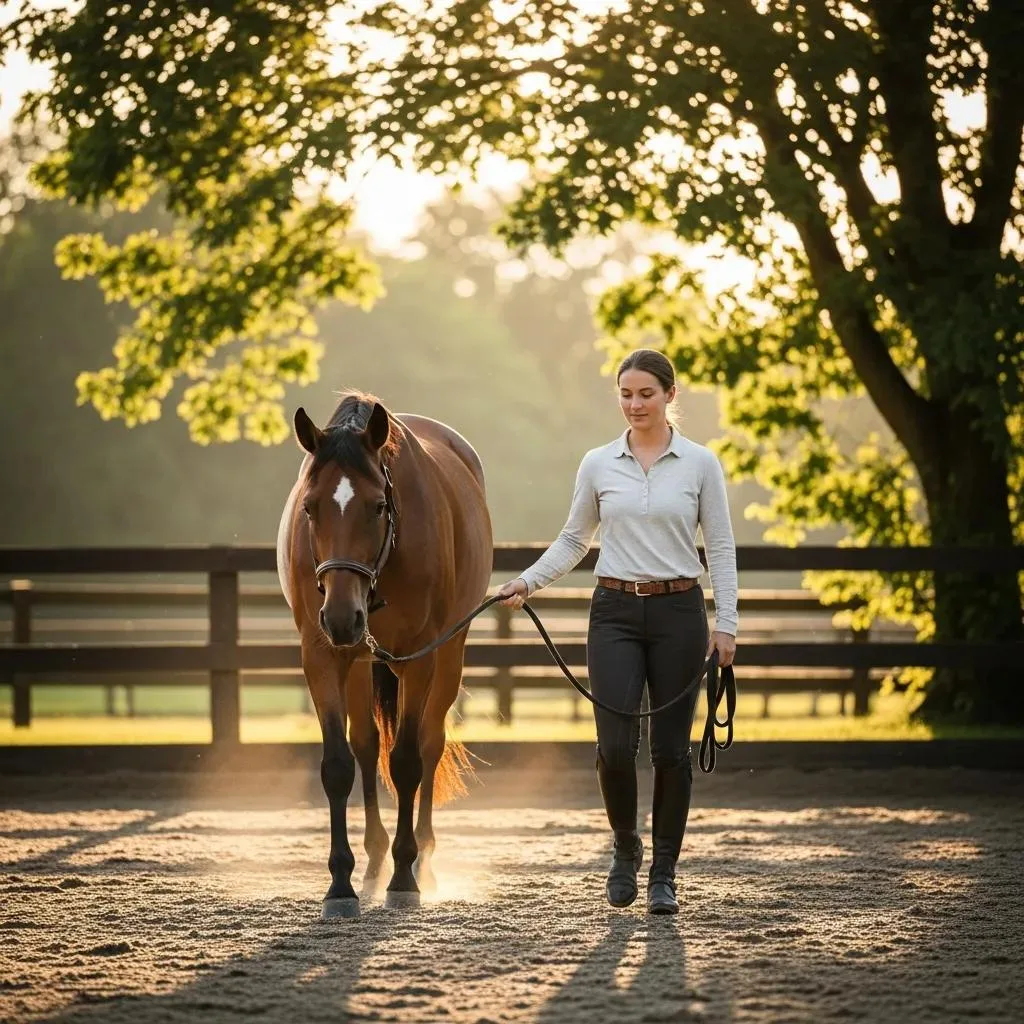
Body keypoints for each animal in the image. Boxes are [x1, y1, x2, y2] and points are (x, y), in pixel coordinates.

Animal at [276, 391, 493, 918]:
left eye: (377, 507)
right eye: (309, 508)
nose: (341, 617)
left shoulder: (419, 657)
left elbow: (408, 762)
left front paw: (404, 877)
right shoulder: (321, 657)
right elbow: (338, 765)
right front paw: (340, 884)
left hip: (448, 655)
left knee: (431, 744)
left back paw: (422, 861)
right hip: (357, 662)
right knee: (366, 745)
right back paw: (373, 862)